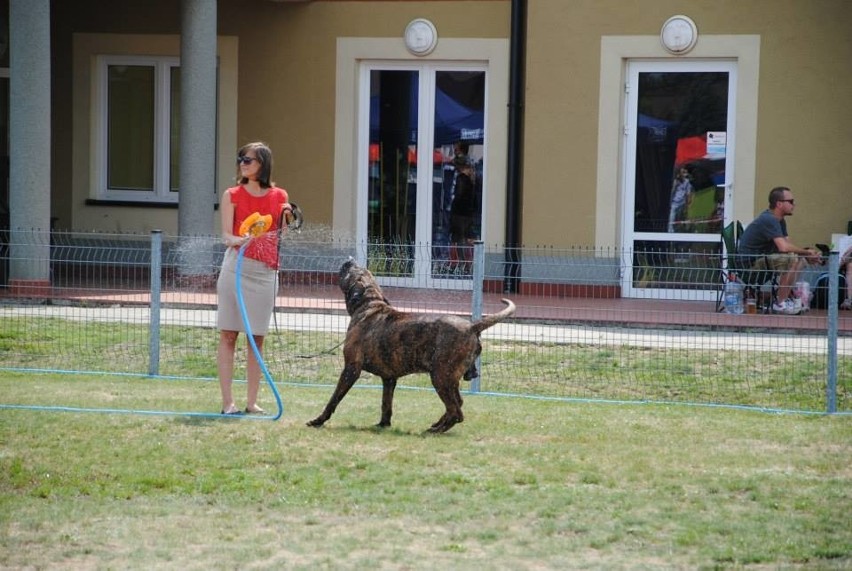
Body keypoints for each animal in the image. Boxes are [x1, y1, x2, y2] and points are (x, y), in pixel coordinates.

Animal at [310, 260, 516, 434]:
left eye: (353, 271)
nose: (349, 259)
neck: (368, 305)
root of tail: (472, 326)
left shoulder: (351, 370)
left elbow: (334, 399)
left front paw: (318, 420)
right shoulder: (389, 379)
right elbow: (386, 404)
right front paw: (383, 424)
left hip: (440, 377)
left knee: (456, 412)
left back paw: (435, 430)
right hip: (448, 379)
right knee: (457, 404)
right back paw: (437, 424)